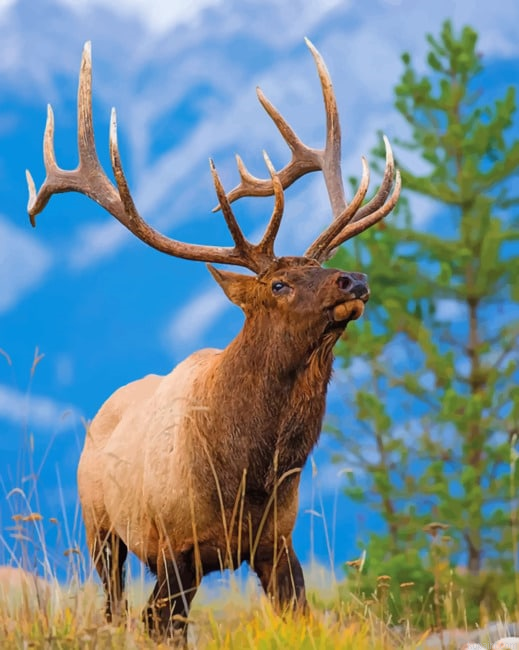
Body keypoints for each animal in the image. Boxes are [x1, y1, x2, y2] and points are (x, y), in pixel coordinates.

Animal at [26, 39, 400, 642]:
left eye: (321, 267)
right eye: (278, 284)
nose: (354, 280)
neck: (249, 473)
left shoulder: (277, 543)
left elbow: (298, 613)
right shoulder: (176, 547)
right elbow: (160, 625)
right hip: (101, 530)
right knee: (115, 609)